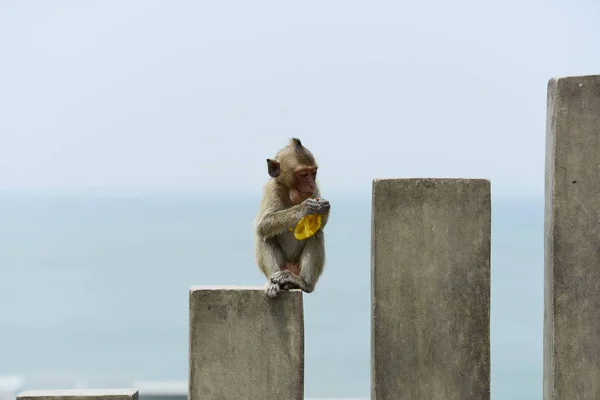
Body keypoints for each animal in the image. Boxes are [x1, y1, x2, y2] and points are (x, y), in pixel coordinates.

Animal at [252, 138, 330, 296]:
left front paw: (324, 206)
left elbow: (320, 226)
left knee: (316, 234)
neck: (293, 193)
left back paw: (301, 283)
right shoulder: (273, 189)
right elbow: (263, 224)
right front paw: (305, 208)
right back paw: (274, 283)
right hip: (282, 265)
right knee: (264, 235)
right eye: (303, 174)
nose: (311, 184)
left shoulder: (315, 191)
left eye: (313, 173)